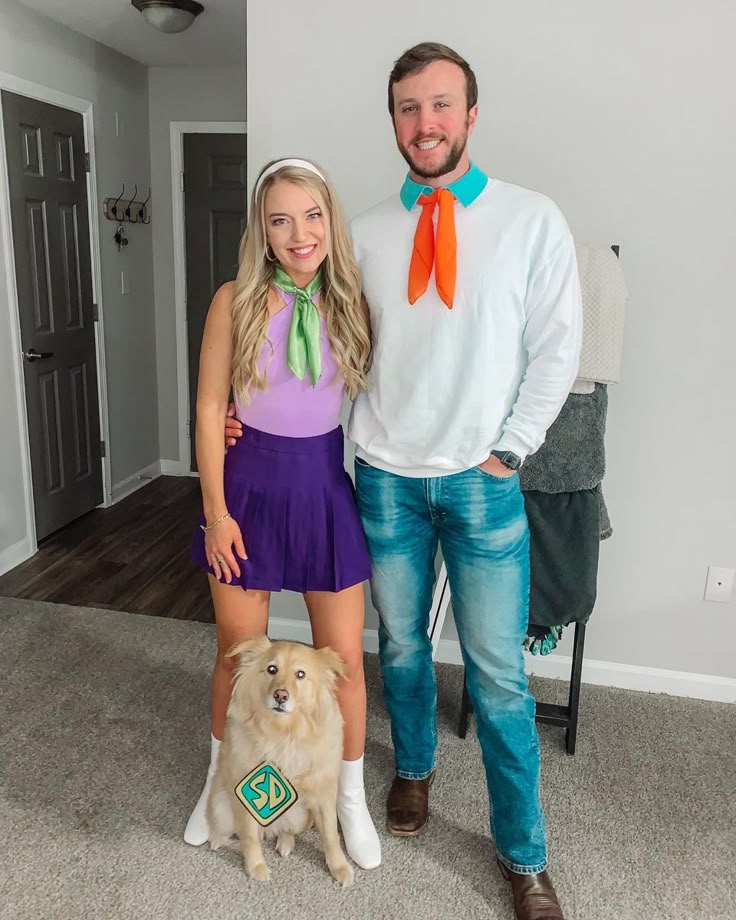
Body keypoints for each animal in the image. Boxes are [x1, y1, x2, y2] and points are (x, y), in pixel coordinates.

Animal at [206, 636, 356, 888]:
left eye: (300, 674)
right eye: (271, 669)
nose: (280, 696)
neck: (284, 733)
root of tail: (269, 829)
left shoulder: (323, 793)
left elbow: (330, 835)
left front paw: (339, 867)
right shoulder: (242, 793)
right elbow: (248, 837)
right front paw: (256, 866)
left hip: (299, 816)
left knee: (287, 831)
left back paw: (285, 843)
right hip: (221, 806)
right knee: (233, 830)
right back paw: (217, 838)